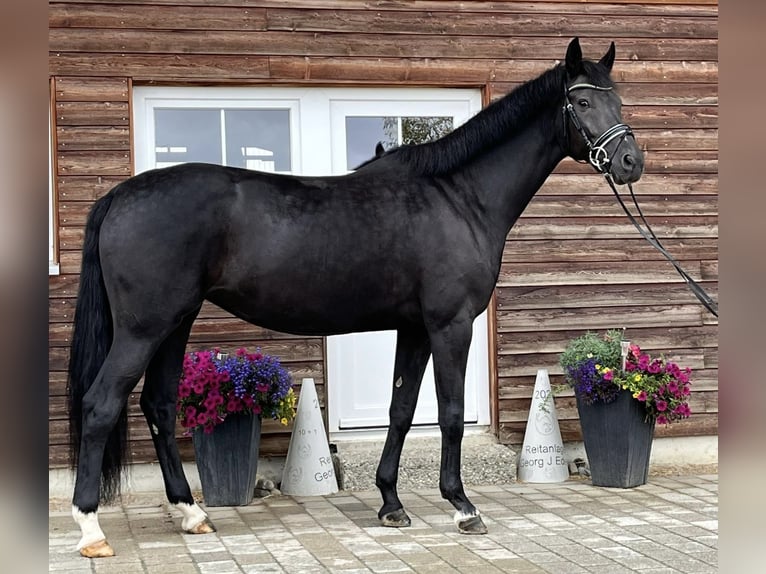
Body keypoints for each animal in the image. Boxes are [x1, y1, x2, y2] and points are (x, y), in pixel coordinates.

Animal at [66, 37, 644, 557]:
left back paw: (190, 513)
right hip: (144, 328)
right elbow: (451, 413)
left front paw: (391, 502)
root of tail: (120, 195)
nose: (630, 162)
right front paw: (462, 506)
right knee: (101, 404)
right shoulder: (450, 324)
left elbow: (402, 409)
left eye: (618, 101)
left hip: (175, 323)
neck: (458, 197)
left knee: (159, 405)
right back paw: (90, 530)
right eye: (583, 102)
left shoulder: (414, 327)